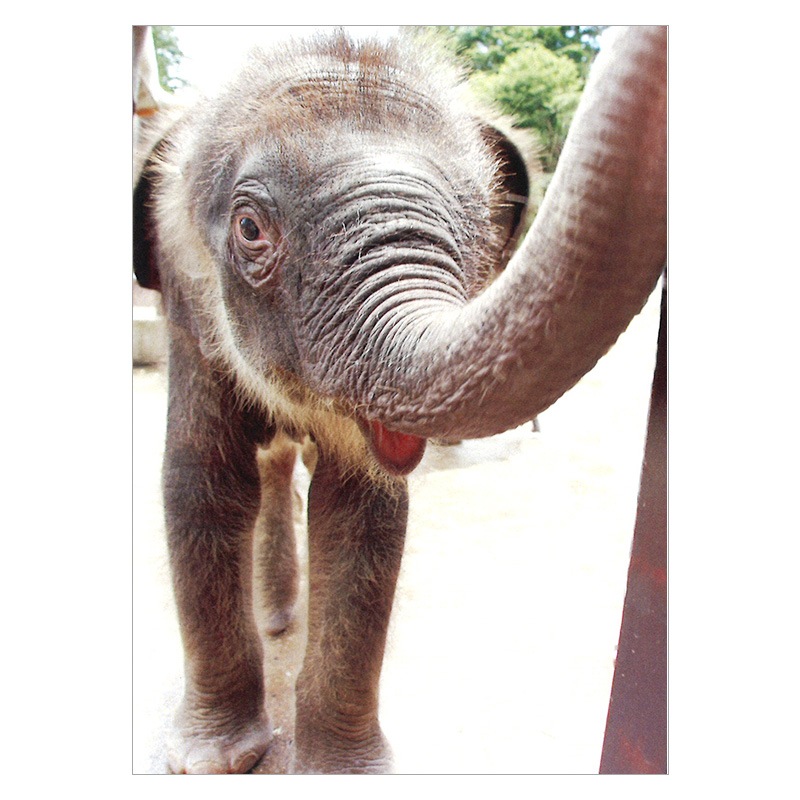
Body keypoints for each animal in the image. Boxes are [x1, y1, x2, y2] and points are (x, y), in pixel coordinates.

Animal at [133, 25, 666, 774]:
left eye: (483, 222)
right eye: (250, 229)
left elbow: (362, 507)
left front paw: (340, 771)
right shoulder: (187, 305)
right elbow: (202, 481)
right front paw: (210, 761)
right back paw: (275, 620)